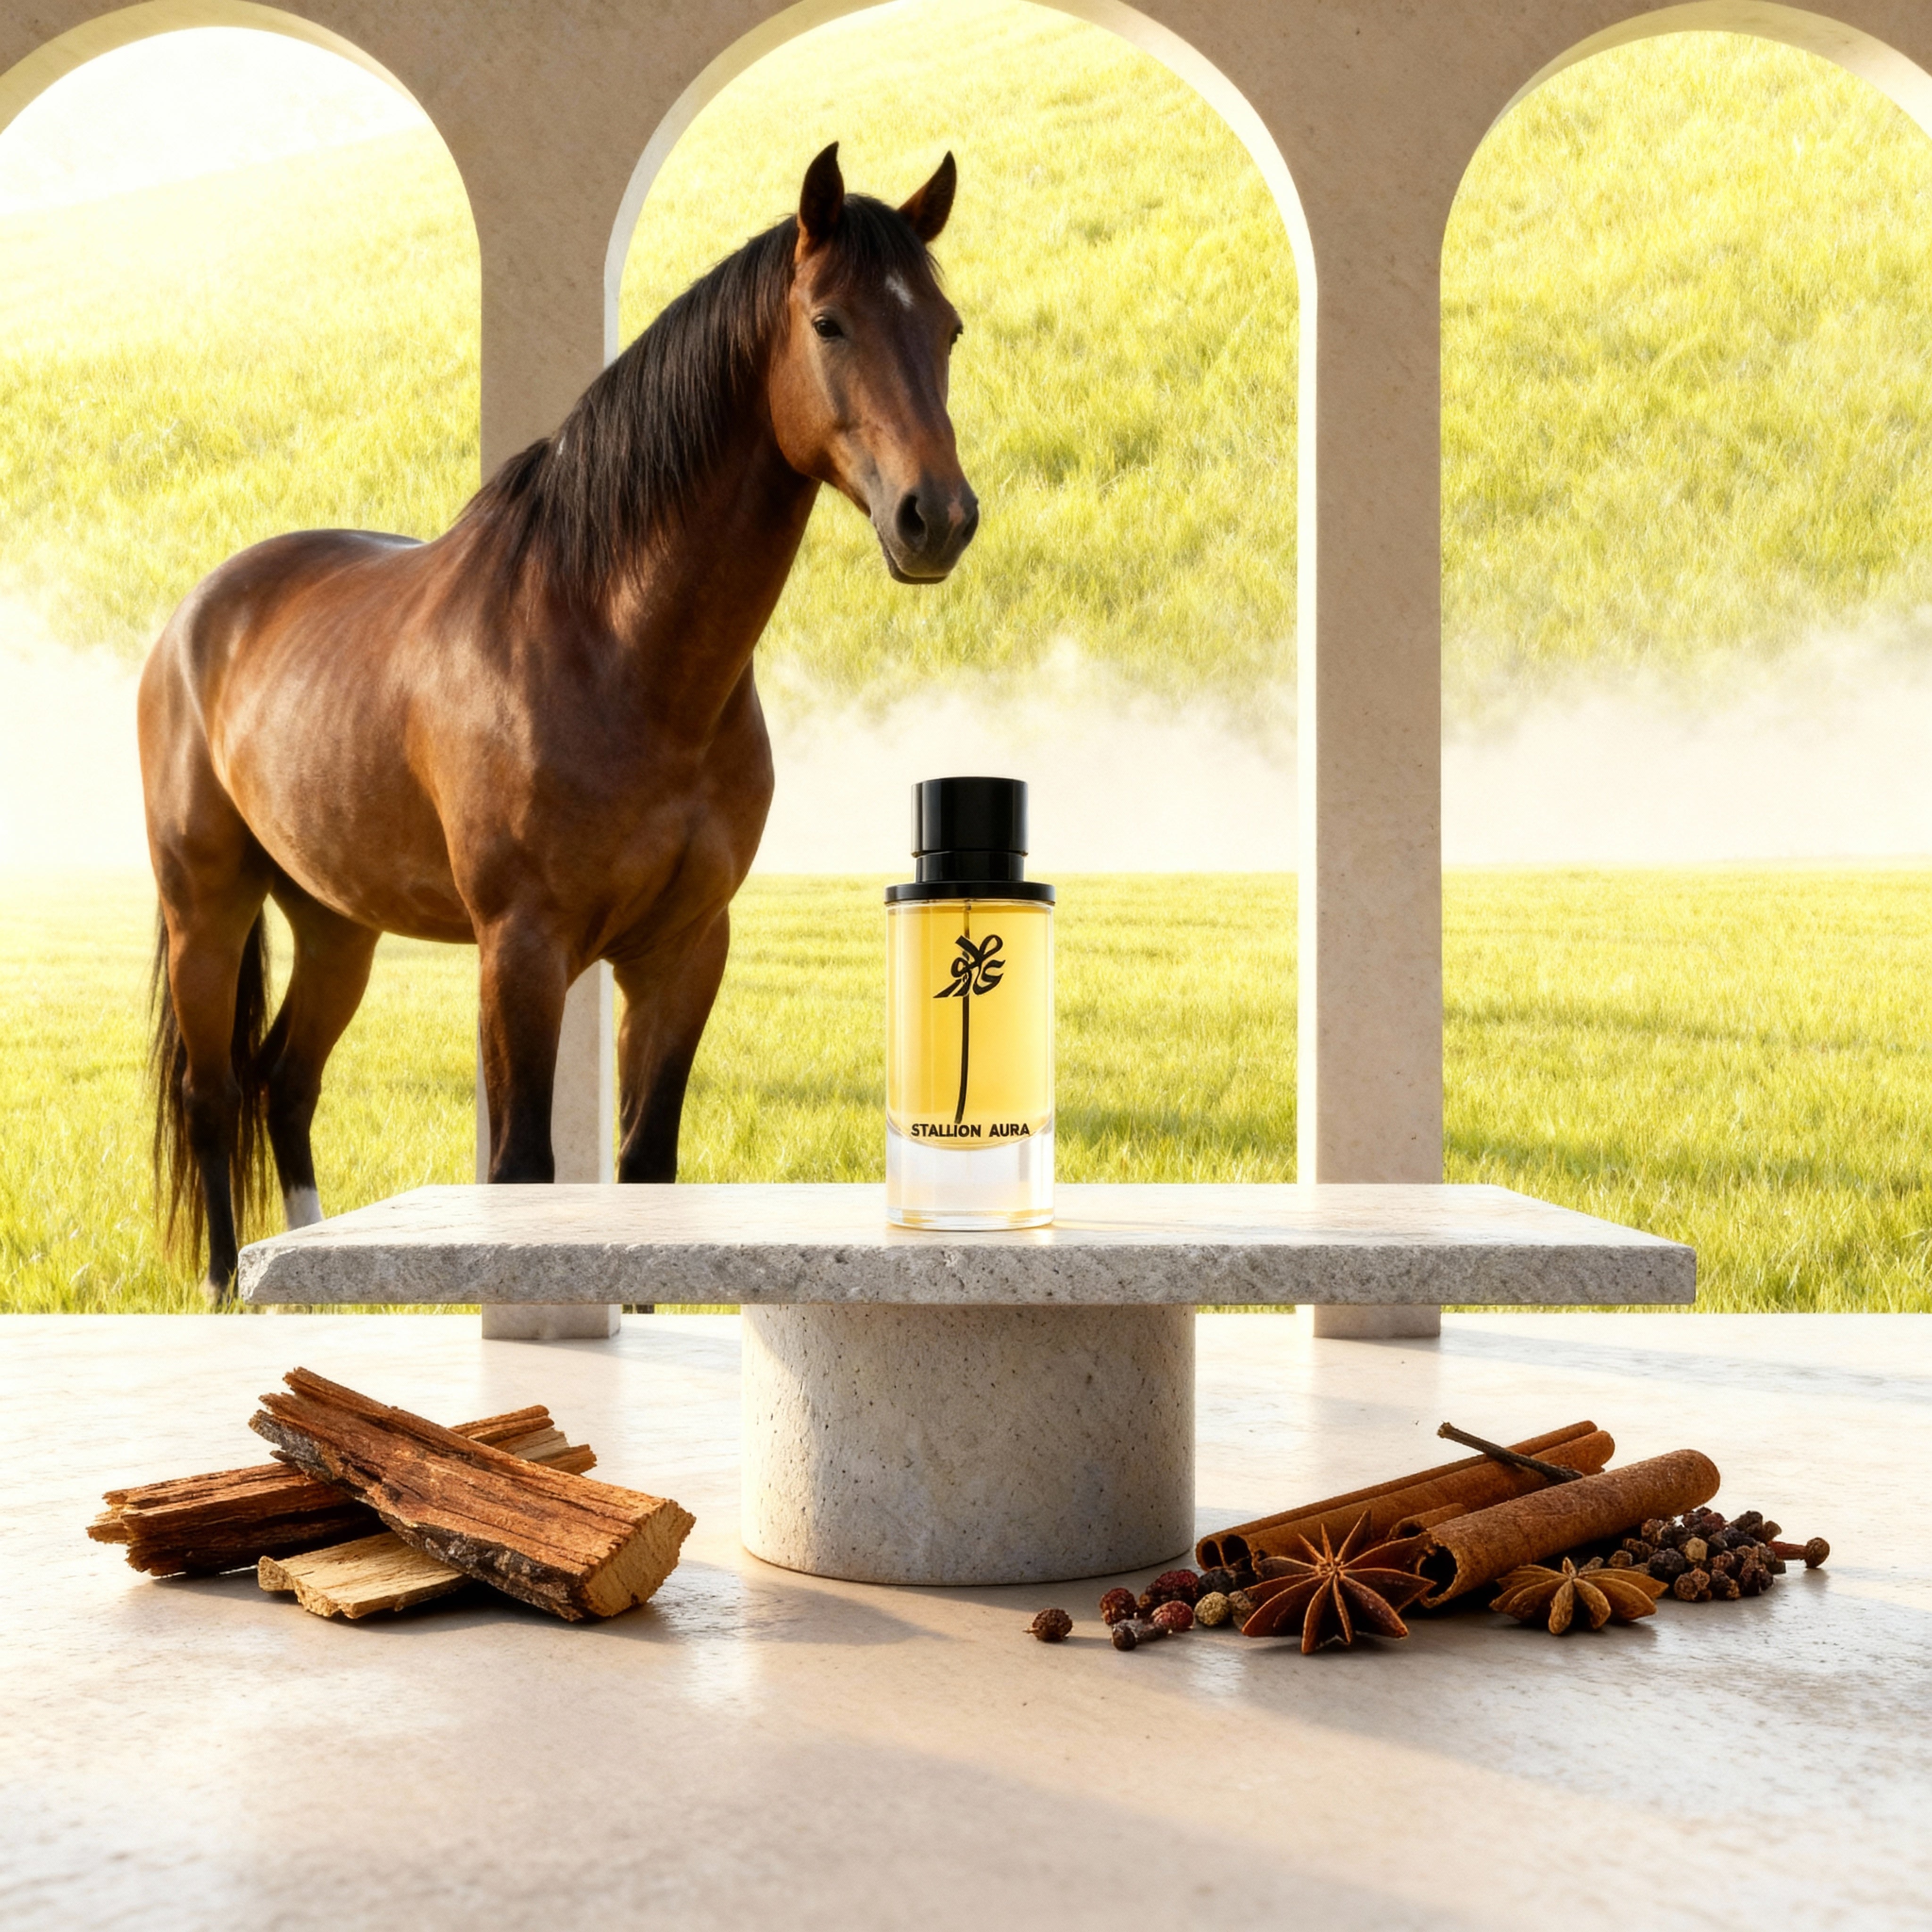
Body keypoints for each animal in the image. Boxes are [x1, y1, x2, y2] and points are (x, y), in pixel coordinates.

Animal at [139, 143, 976, 1306]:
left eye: (946, 327)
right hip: (206, 909)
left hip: (336, 920)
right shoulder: (521, 948)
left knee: (286, 1081)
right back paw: (227, 1286)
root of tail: (197, 614)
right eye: (829, 322)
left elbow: (645, 1161)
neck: (617, 654)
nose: (936, 517)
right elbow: (520, 1165)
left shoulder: (683, 948)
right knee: (217, 1092)